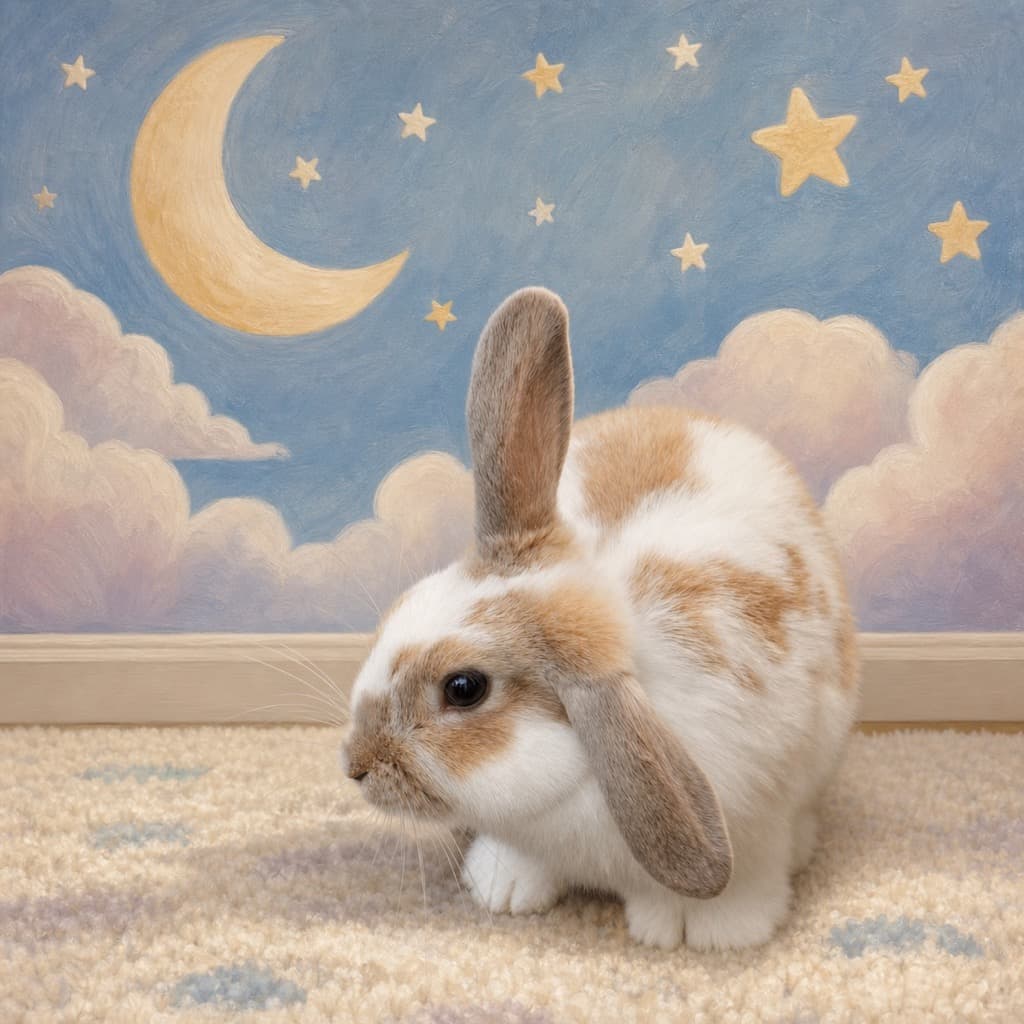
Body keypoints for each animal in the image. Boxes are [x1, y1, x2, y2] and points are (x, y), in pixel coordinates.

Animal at [340, 286, 861, 950]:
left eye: (463, 688)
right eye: (402, 605)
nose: (354, 765)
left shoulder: (757, 816)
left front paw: (714, 931)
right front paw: (503, 890)